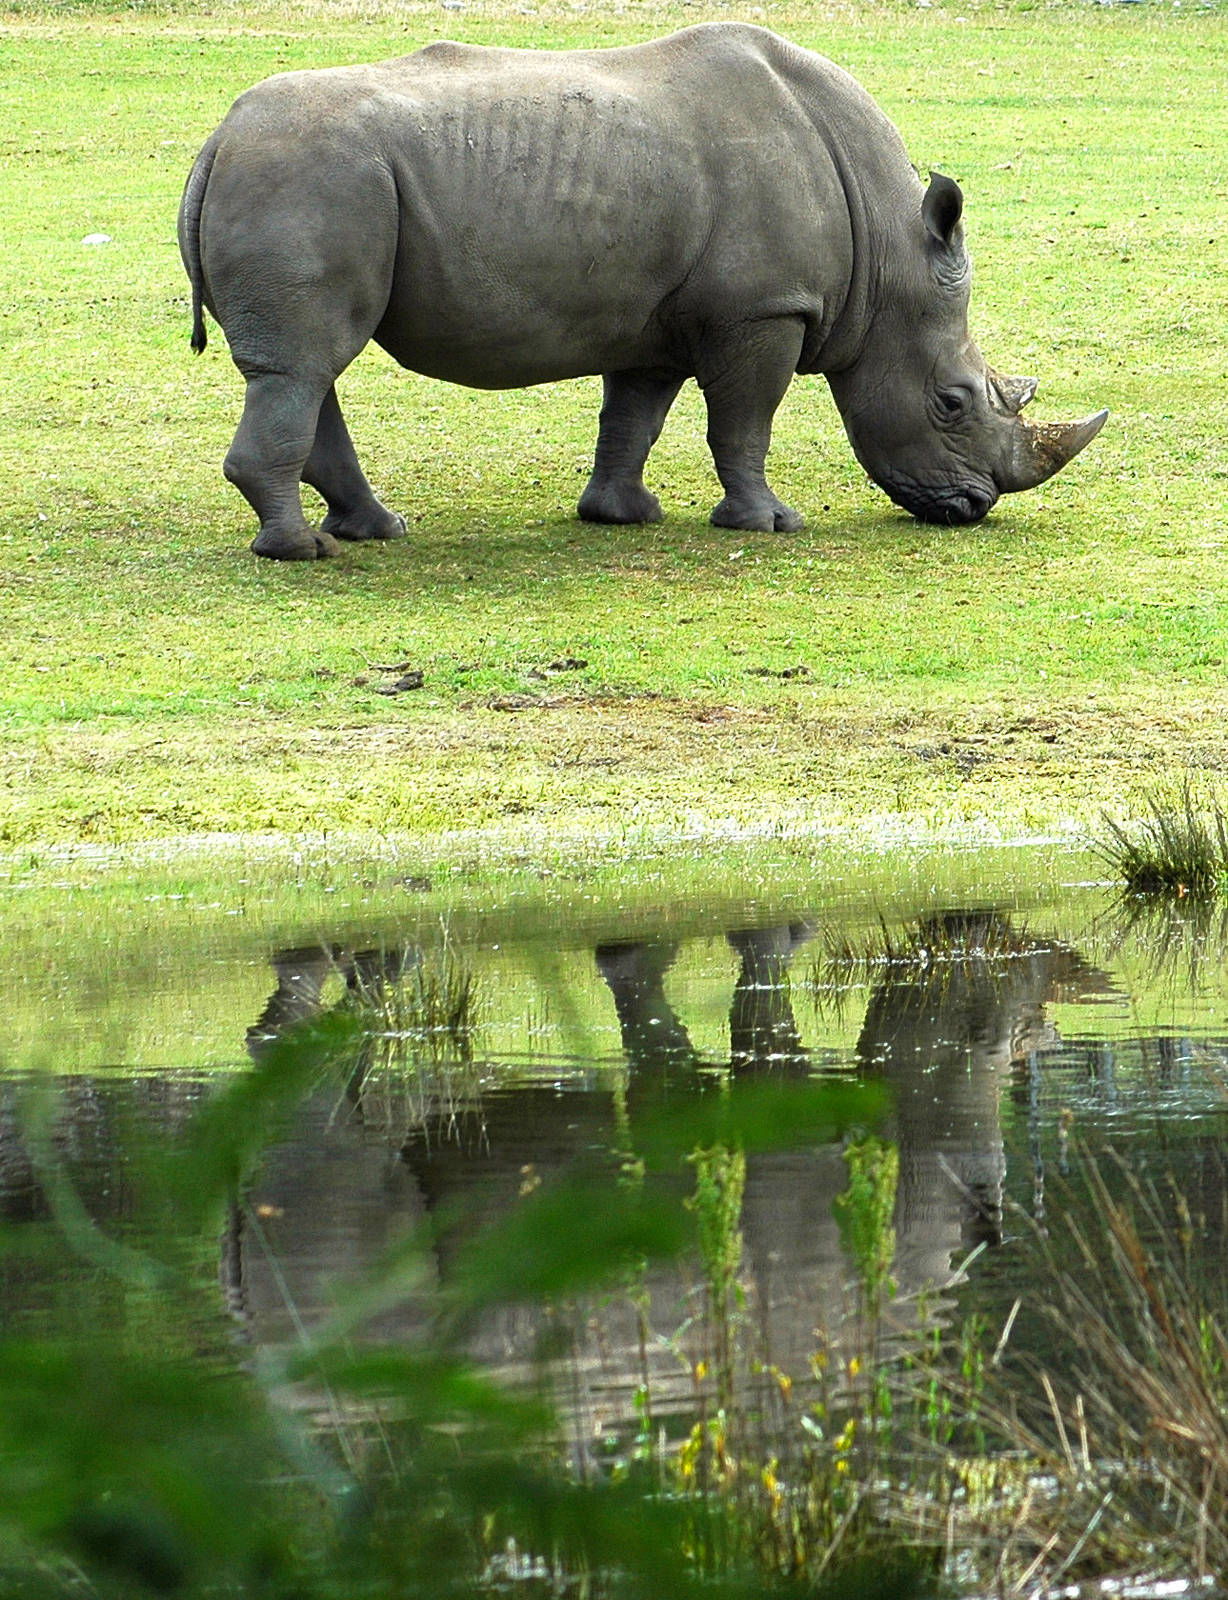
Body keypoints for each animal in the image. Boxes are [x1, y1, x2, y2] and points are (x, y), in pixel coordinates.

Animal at [178, 22, 1107, 560]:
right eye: (951, 403)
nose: (973, 508)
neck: (887, 253)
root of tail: (217, 137)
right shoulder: (762, 308)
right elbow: (744, 418)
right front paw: (770, 525)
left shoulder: (655, 314)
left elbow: (636, 415)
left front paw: (622, 515)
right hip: (311, 177)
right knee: (306, 363)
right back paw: (303, 552)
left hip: (310, 178)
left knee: (311, 367)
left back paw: (376, 530)